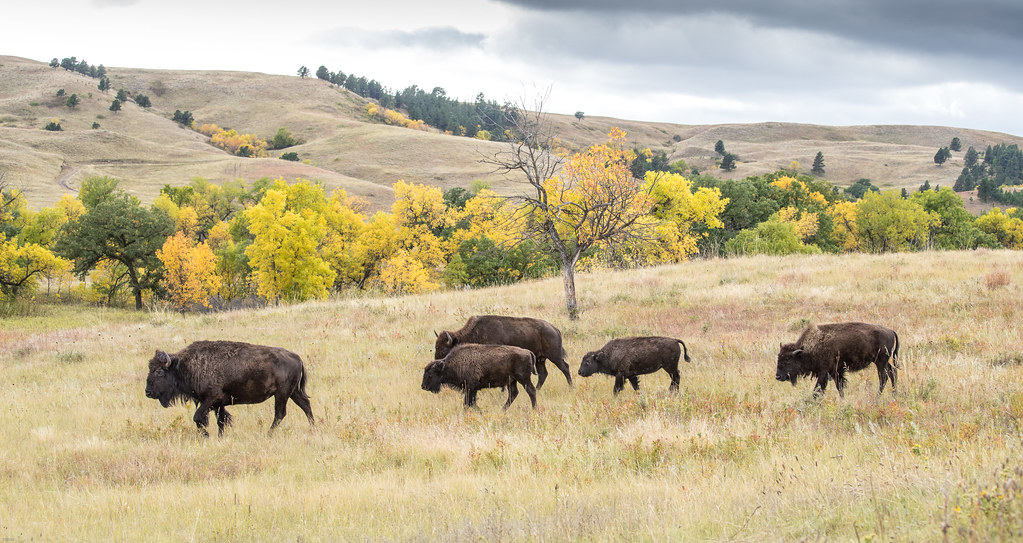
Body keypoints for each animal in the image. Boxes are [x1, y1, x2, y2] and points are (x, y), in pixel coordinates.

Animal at [145, 340, 315, 436]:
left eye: (159, 372)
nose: (148, 392)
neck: (184, 366)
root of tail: (296, 357)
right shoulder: (219, 404)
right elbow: (221, 420)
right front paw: (220, 437)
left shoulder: (210, 399)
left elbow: (198, 417)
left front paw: (206, 435)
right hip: (293, 392)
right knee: (305, 405)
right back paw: (314, 428)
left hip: (282, 394)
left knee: (280, 413)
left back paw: (269, 434)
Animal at [435, 315, 571, 390]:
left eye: (444, 350)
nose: (438, 363)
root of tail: (554, 328)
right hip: (539, 359)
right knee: (543, 374)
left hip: (554, 356)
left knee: (565, 367)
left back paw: (571, 387)